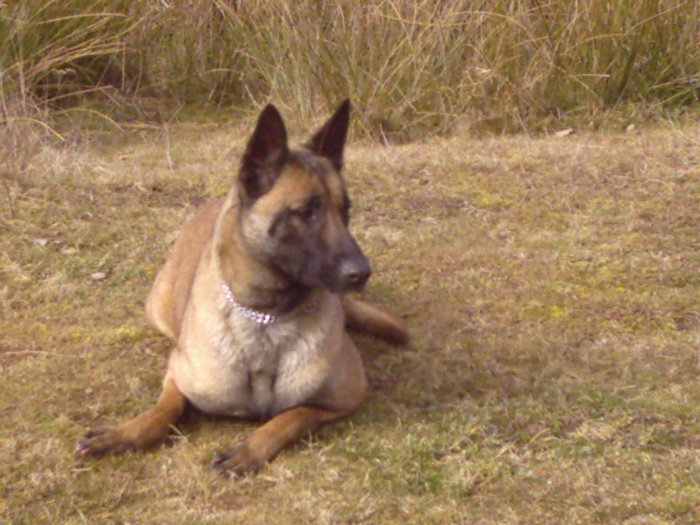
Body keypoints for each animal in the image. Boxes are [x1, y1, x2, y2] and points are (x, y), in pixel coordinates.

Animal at [74, 99, 408, 474]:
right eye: (306, 212)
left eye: (345, 209)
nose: (362, 273)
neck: (268, 317)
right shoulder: (178, 373)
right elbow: (164, 408)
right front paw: (124, 433)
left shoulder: (347, 397)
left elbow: (291, 416)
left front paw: (249, 449)